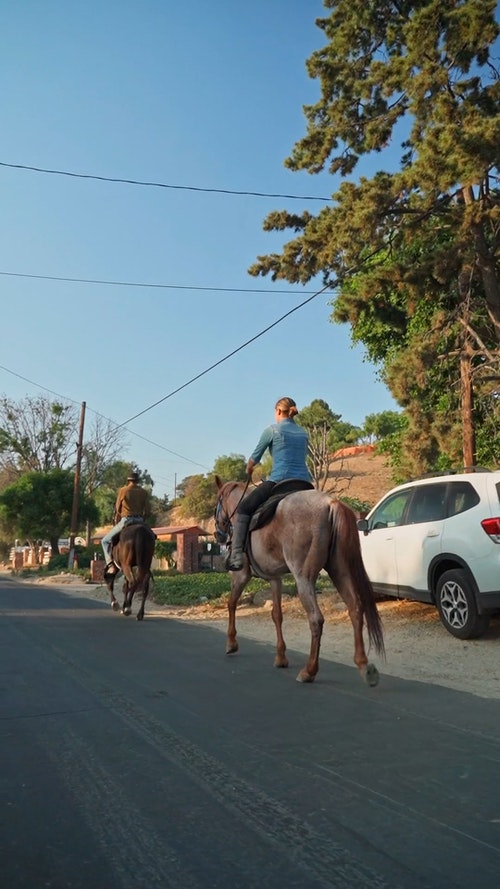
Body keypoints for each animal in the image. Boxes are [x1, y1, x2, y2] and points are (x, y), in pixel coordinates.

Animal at [213, 478, 384, 688]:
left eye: (218, 502)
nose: (218, 534)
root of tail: (330, 504)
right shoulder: (275, 579)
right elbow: (277, 615)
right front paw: (280, 657)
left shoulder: (241, 576)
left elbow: (231, 604)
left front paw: (231, 643)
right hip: (340, 570)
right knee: (356, 608)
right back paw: (364, 666)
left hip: (303, 577)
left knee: (316, 619)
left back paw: (309, 671)